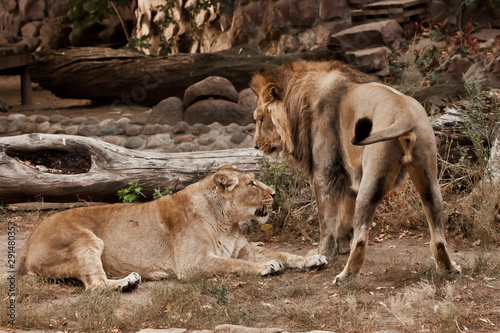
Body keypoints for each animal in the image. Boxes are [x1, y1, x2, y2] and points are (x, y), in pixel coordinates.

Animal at [16, 162, 328, 290]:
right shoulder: (192, 263)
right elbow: (234, 265)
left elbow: (285, 253)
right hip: (84, 240)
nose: (274, 193)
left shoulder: (241, 249)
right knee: (95, 286)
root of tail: (28, 241)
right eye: (252, 183)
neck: (226, 222)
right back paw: (127, 282)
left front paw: (313, 258)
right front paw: (266, 267)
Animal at [250, 60, 460, 282]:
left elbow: (326, 220)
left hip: (371, 179)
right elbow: (345, 214)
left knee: (361, 239)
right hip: (429, 180)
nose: (255, 145)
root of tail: (406, 114)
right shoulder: (349, 172)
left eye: (261, 119)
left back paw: (345, 276)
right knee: (438, 234)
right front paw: (342, 245)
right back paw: (449, 268)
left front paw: (323, 253)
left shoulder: (325, 172)